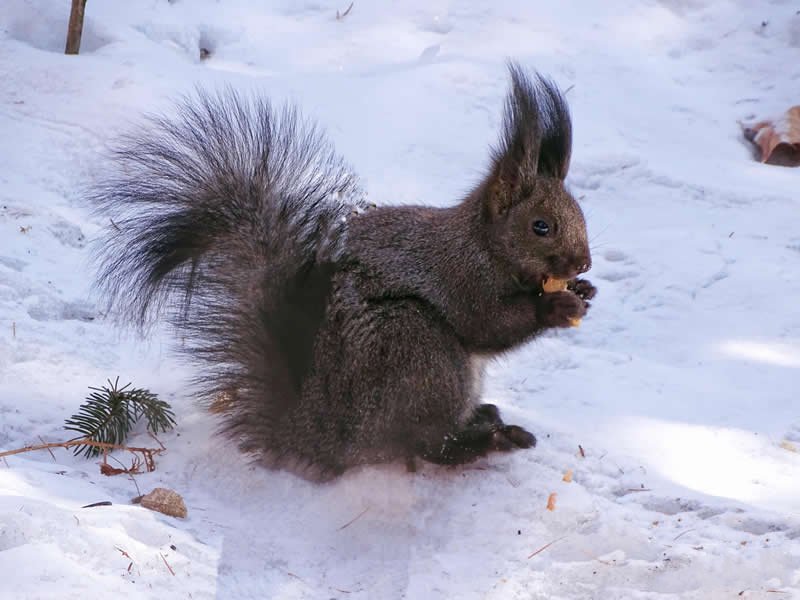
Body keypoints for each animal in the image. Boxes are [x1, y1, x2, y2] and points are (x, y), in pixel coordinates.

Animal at [92, 63, 592, 480]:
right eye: (540, 226)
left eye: (581, 214)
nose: (583, 263)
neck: (484, 246)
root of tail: (319, 437)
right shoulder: (462, 278)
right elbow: (489, 323)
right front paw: (556, 305)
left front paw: (584, 290)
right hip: (417, 349)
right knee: (428, 445)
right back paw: (489, 439)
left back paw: (485, 418)